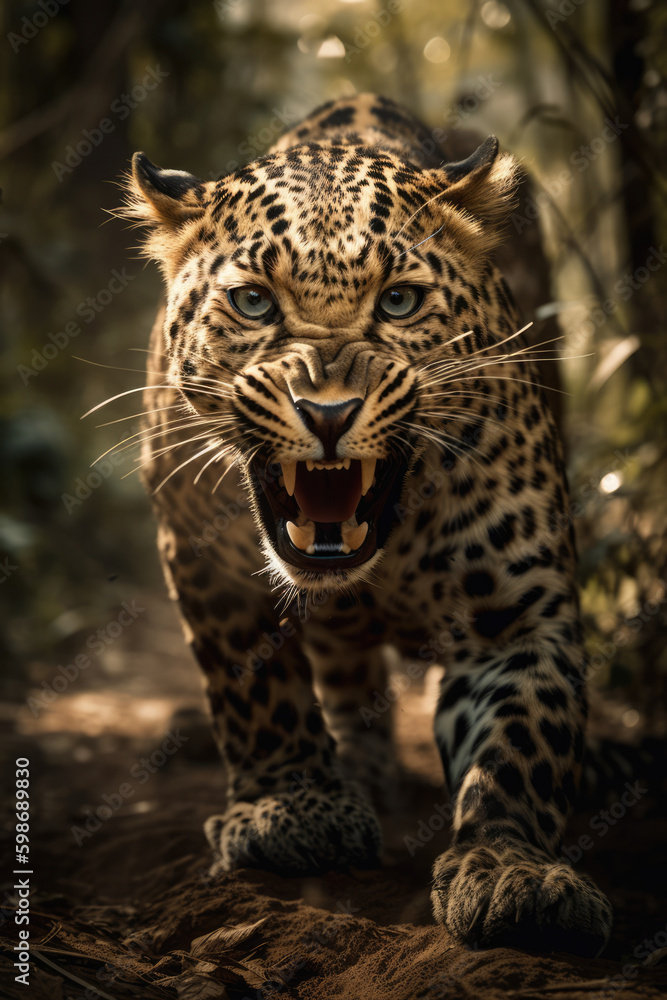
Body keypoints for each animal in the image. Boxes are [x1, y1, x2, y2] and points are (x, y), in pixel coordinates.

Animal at [117, 93, 614, 955]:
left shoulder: (515, 611)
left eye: (399, 301)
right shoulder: (202, 559)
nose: (327, 414)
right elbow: (254, 690)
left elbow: (519, 738)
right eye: (253, 301)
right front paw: (290, 810)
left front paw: (512, 872)